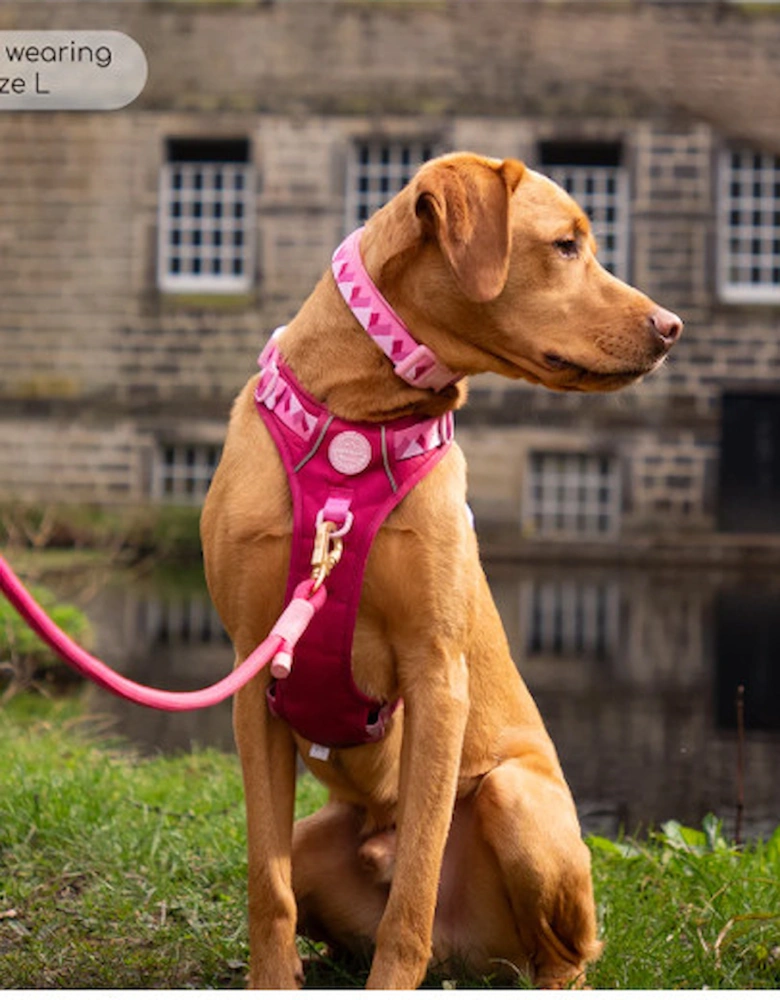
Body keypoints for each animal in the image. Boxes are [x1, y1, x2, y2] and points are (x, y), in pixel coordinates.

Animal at [203, 152, 684, 988]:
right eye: (566, 246)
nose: (671, 326)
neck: (356, 419)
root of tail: (475, 954)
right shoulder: (255, 673)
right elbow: (268, 886)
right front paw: (272, 979)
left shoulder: (437, 677)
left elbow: (414, 894)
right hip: (317, 841)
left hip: (519, 804)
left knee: (566, 954)